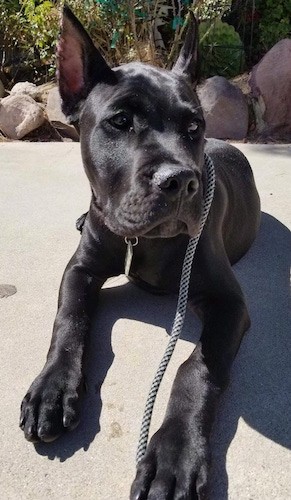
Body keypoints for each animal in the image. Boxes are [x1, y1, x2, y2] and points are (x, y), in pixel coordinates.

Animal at [21, 8, 262, 500]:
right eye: (119, 121)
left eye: (194, 128)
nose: (182, 181)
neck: (143, 242)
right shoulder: (80, 268)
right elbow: (69, 319)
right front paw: (51, 389)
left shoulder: (229, 302)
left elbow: (196, 367)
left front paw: (175, 455)